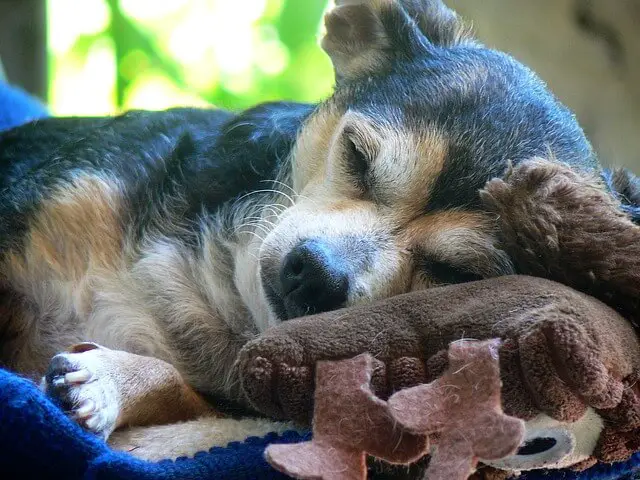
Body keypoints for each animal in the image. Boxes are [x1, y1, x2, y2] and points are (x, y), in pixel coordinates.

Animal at [0, 0, 624, 440]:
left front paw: (109, 381)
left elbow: (182, 389)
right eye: (356, 155)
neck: (220, 291)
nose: (318, 273)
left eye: (455, 274)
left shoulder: (232, 403)